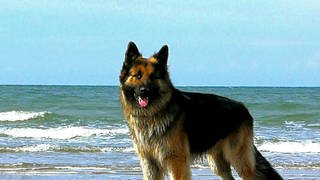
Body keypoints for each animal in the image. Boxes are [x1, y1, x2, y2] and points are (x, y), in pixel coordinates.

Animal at [120, 41, 282, 179]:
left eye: (153, 77)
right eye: (138, 75)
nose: (144, 92)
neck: (152, 114)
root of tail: (244, 108)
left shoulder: (177, 161)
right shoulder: (149, 164)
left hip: (239, 160)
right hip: (218, 164)